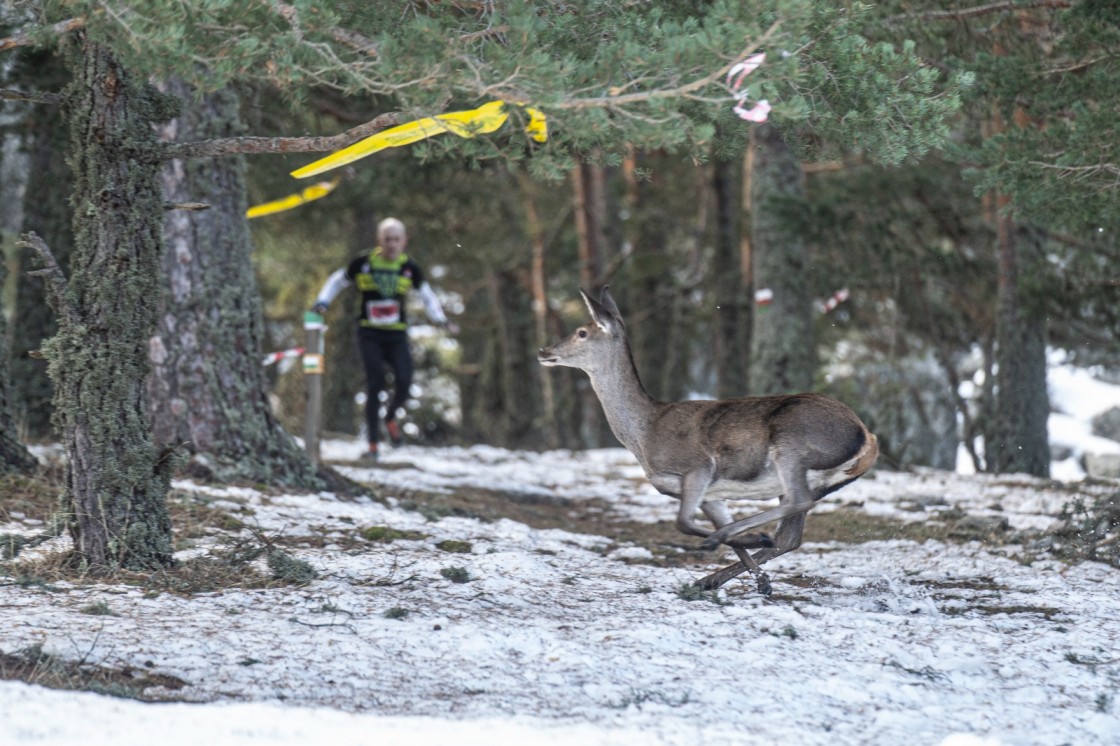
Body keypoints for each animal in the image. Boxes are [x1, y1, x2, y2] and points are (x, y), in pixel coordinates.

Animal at [537, 285, 878, 591]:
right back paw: (714, 576)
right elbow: (711, 522)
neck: (644, 434)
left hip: (793, 444)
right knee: (790, 536)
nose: (544, 351)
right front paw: (761, 579)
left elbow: (683, 523)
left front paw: (740, 544)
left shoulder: (698, 467)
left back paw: (730, 546)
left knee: (798, 500)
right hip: (818, 478)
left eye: (582, 332)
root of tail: (867, 436)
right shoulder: (710, 492)